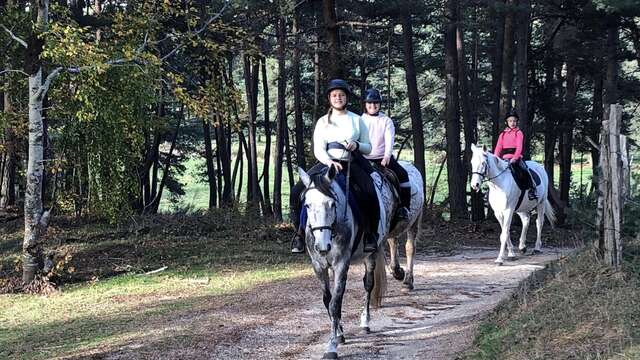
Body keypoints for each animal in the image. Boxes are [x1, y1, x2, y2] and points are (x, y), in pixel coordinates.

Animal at [300, 162, 424, 358]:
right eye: (307, 205)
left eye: (332, 204)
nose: (322, 246)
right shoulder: (318, 266)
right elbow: (328, 301)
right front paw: (339, 333)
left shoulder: (341, 264)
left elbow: (336, 303)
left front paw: (331, 346)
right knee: (393, 242)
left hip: (403, 229)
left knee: (374, 278)